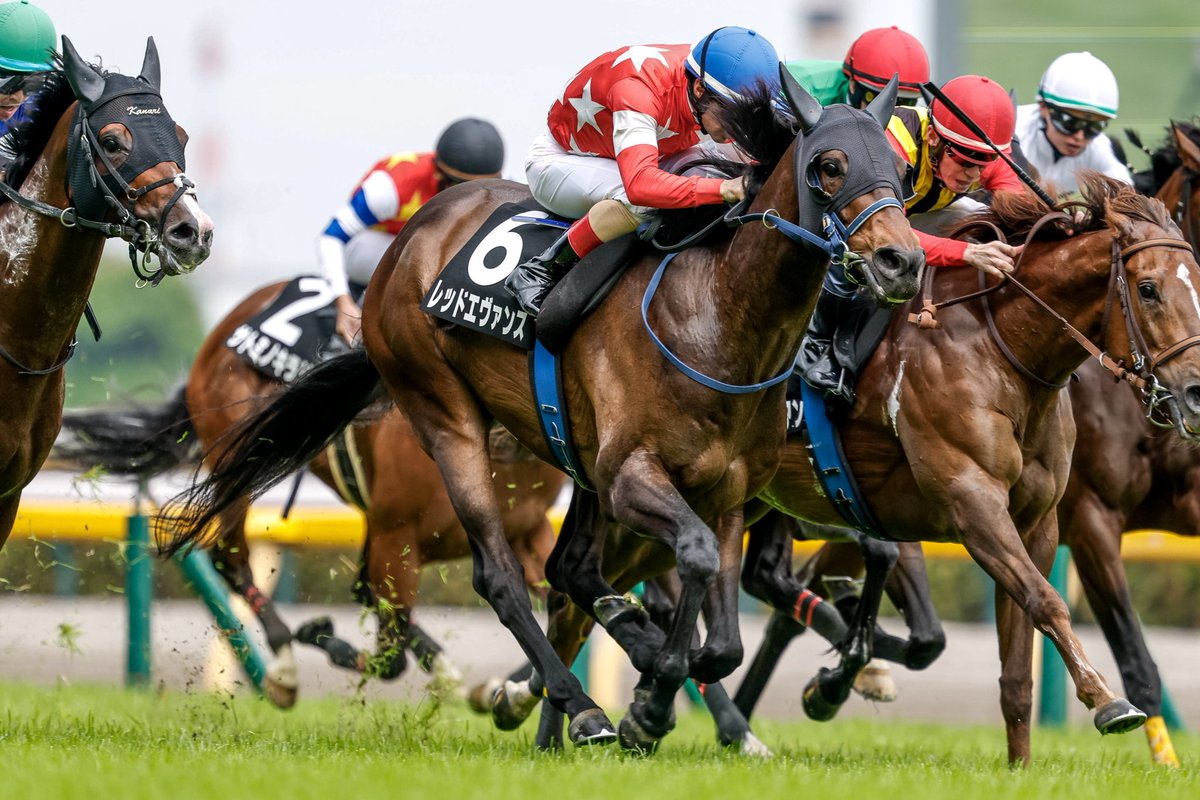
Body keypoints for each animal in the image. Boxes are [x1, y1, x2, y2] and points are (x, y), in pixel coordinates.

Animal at [51, 279, 564, 707]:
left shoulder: (527, 532)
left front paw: (508, 690)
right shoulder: (396, 537)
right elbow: (389, 657)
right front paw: (319, 635)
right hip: (241, 462)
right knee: (230, 558)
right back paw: (283, 668)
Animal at [160, 71, 926, 751]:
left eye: (897, 165)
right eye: (829, 165)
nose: (902, 262)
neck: (717, 317)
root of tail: (414, 238)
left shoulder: (730, 492)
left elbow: (722, 638)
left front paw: (660, 686)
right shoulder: (628, 476)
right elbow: (695, 563)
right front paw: (646, 702)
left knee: (568, 576)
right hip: (444, 415)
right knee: (494, 576)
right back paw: (577, 708)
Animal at [742, 173, 1200, 765]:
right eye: (1147, 289)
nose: (1196, 393)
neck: (1002, 349)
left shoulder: (1037, 522)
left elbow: (1019, 663)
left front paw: (1021, 766)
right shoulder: (979, 503)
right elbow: (1048, 602)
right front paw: (1106, 701)